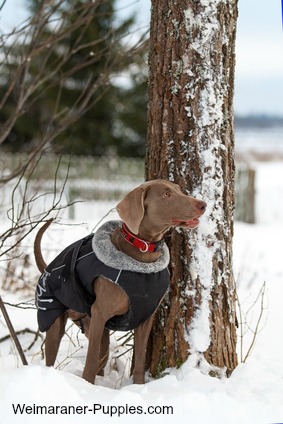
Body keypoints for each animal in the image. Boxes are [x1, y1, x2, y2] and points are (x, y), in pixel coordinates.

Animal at [34, 179, 206, 384]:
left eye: (179, 190)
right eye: (166, 195)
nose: (203, 205)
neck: (141, 252)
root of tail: (47, 268)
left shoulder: (145, 318)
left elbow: (139, 359)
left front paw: (138, 385)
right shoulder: (100, 313)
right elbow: (90, 360)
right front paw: (87, 385)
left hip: (94, 326)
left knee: (102, 356)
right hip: (55, 318)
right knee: (55, 354)